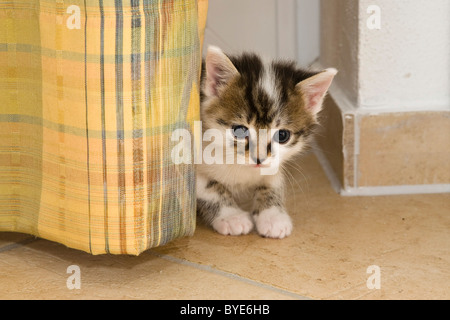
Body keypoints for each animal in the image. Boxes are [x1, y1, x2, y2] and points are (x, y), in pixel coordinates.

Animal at [195, 46, 336, 239]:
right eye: (240, 131)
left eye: (282, 135)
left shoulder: (275, 162)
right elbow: (209, 187)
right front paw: (231, 217)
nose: (259, 158)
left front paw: (272, 216)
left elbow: (272, 181)